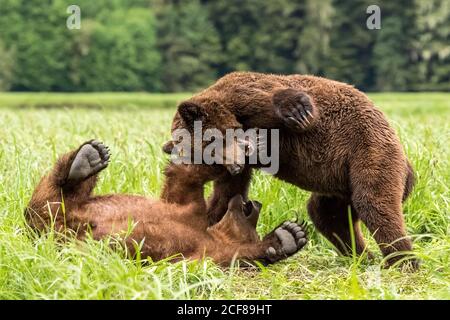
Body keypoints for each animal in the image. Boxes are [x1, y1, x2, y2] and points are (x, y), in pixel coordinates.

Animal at [24, 139, 306, 266]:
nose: (256, 203)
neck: (212, 231)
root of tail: (57, 232)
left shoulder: (204, 251)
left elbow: (232, 257)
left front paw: (288, 235)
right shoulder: (187, 206)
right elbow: (185, 176)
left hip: (56, 229)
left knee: (48, 205)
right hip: (56, 214)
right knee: (49, 196)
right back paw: (88, 157)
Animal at [163, 71, 418, 268]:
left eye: (211, 143)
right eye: (208, 159)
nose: (236, 164)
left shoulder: (247, 97)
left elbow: (280, 103)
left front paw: (297, 110)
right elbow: (225, 196)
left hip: (367, 150)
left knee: (374, 202)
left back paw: (403, 261)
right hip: (340, 182)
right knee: (327, 214)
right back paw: (362, 256)